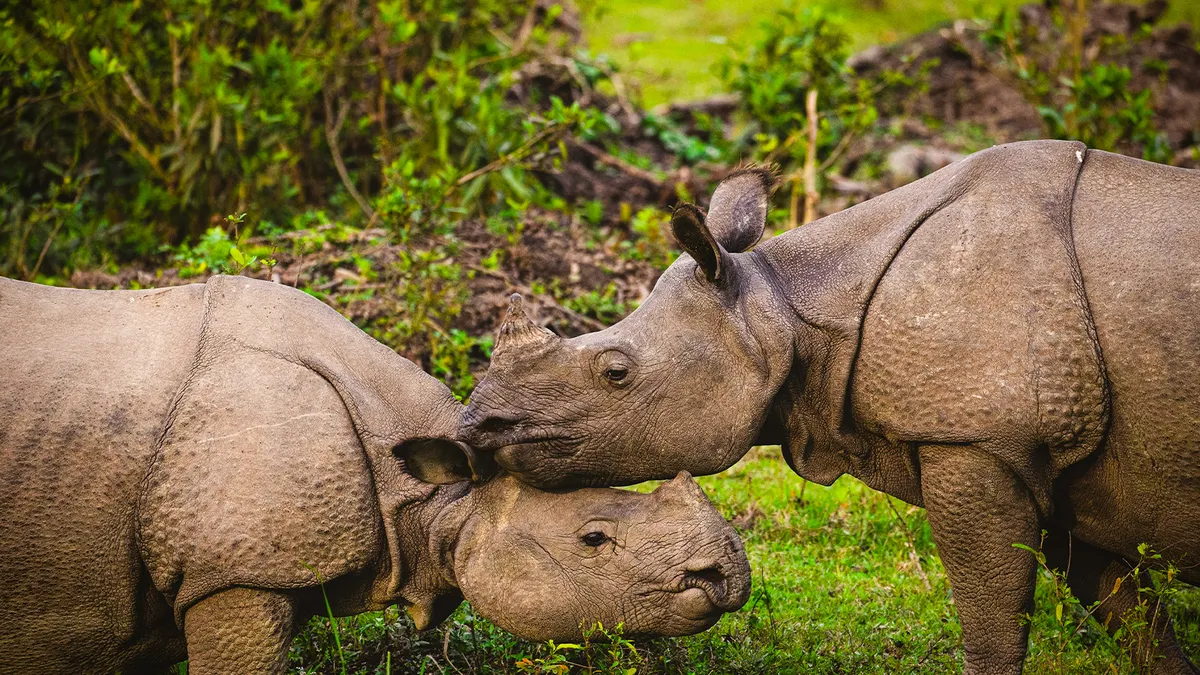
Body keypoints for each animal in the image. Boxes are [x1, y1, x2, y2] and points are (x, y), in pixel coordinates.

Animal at [462, 140, 1200, 675]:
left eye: (615, 372)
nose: (478, 424)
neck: (788, 306)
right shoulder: (1065, 469)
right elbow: (1133, 619)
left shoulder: (978, 442)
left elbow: (993, 618)